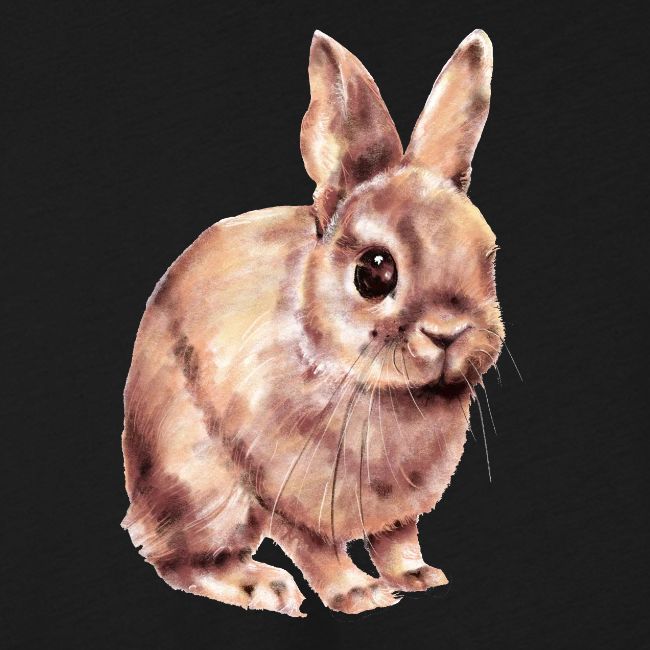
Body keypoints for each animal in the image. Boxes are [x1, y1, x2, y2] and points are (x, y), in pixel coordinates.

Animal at [122, 28, 504, 617]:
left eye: (488, 257)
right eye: (375, 272)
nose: (447, 332)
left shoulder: (397, 511)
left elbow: (397, 538)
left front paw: (418, 576)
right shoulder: (283, 490)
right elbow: (316, 548)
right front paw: (361, 594)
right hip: (205, 488)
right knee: (180, 560)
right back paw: (264, 586)